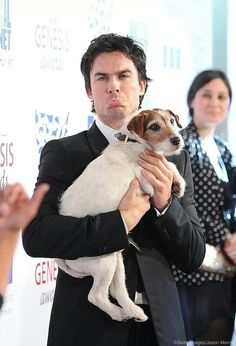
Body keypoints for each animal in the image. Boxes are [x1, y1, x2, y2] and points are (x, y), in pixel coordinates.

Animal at [55, 107, 186, 322]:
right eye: (154, 126)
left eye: (172, 121)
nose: (177, 140)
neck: (133, 141)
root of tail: (59, 258)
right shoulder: (146, 182)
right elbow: (166, 164)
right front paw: (176, 181)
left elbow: (168, 164)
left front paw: (178, 183)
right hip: (103, 262)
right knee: (96, 296)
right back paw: (119, 313)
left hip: (115, 258)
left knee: (117, 291)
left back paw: (133, 312)